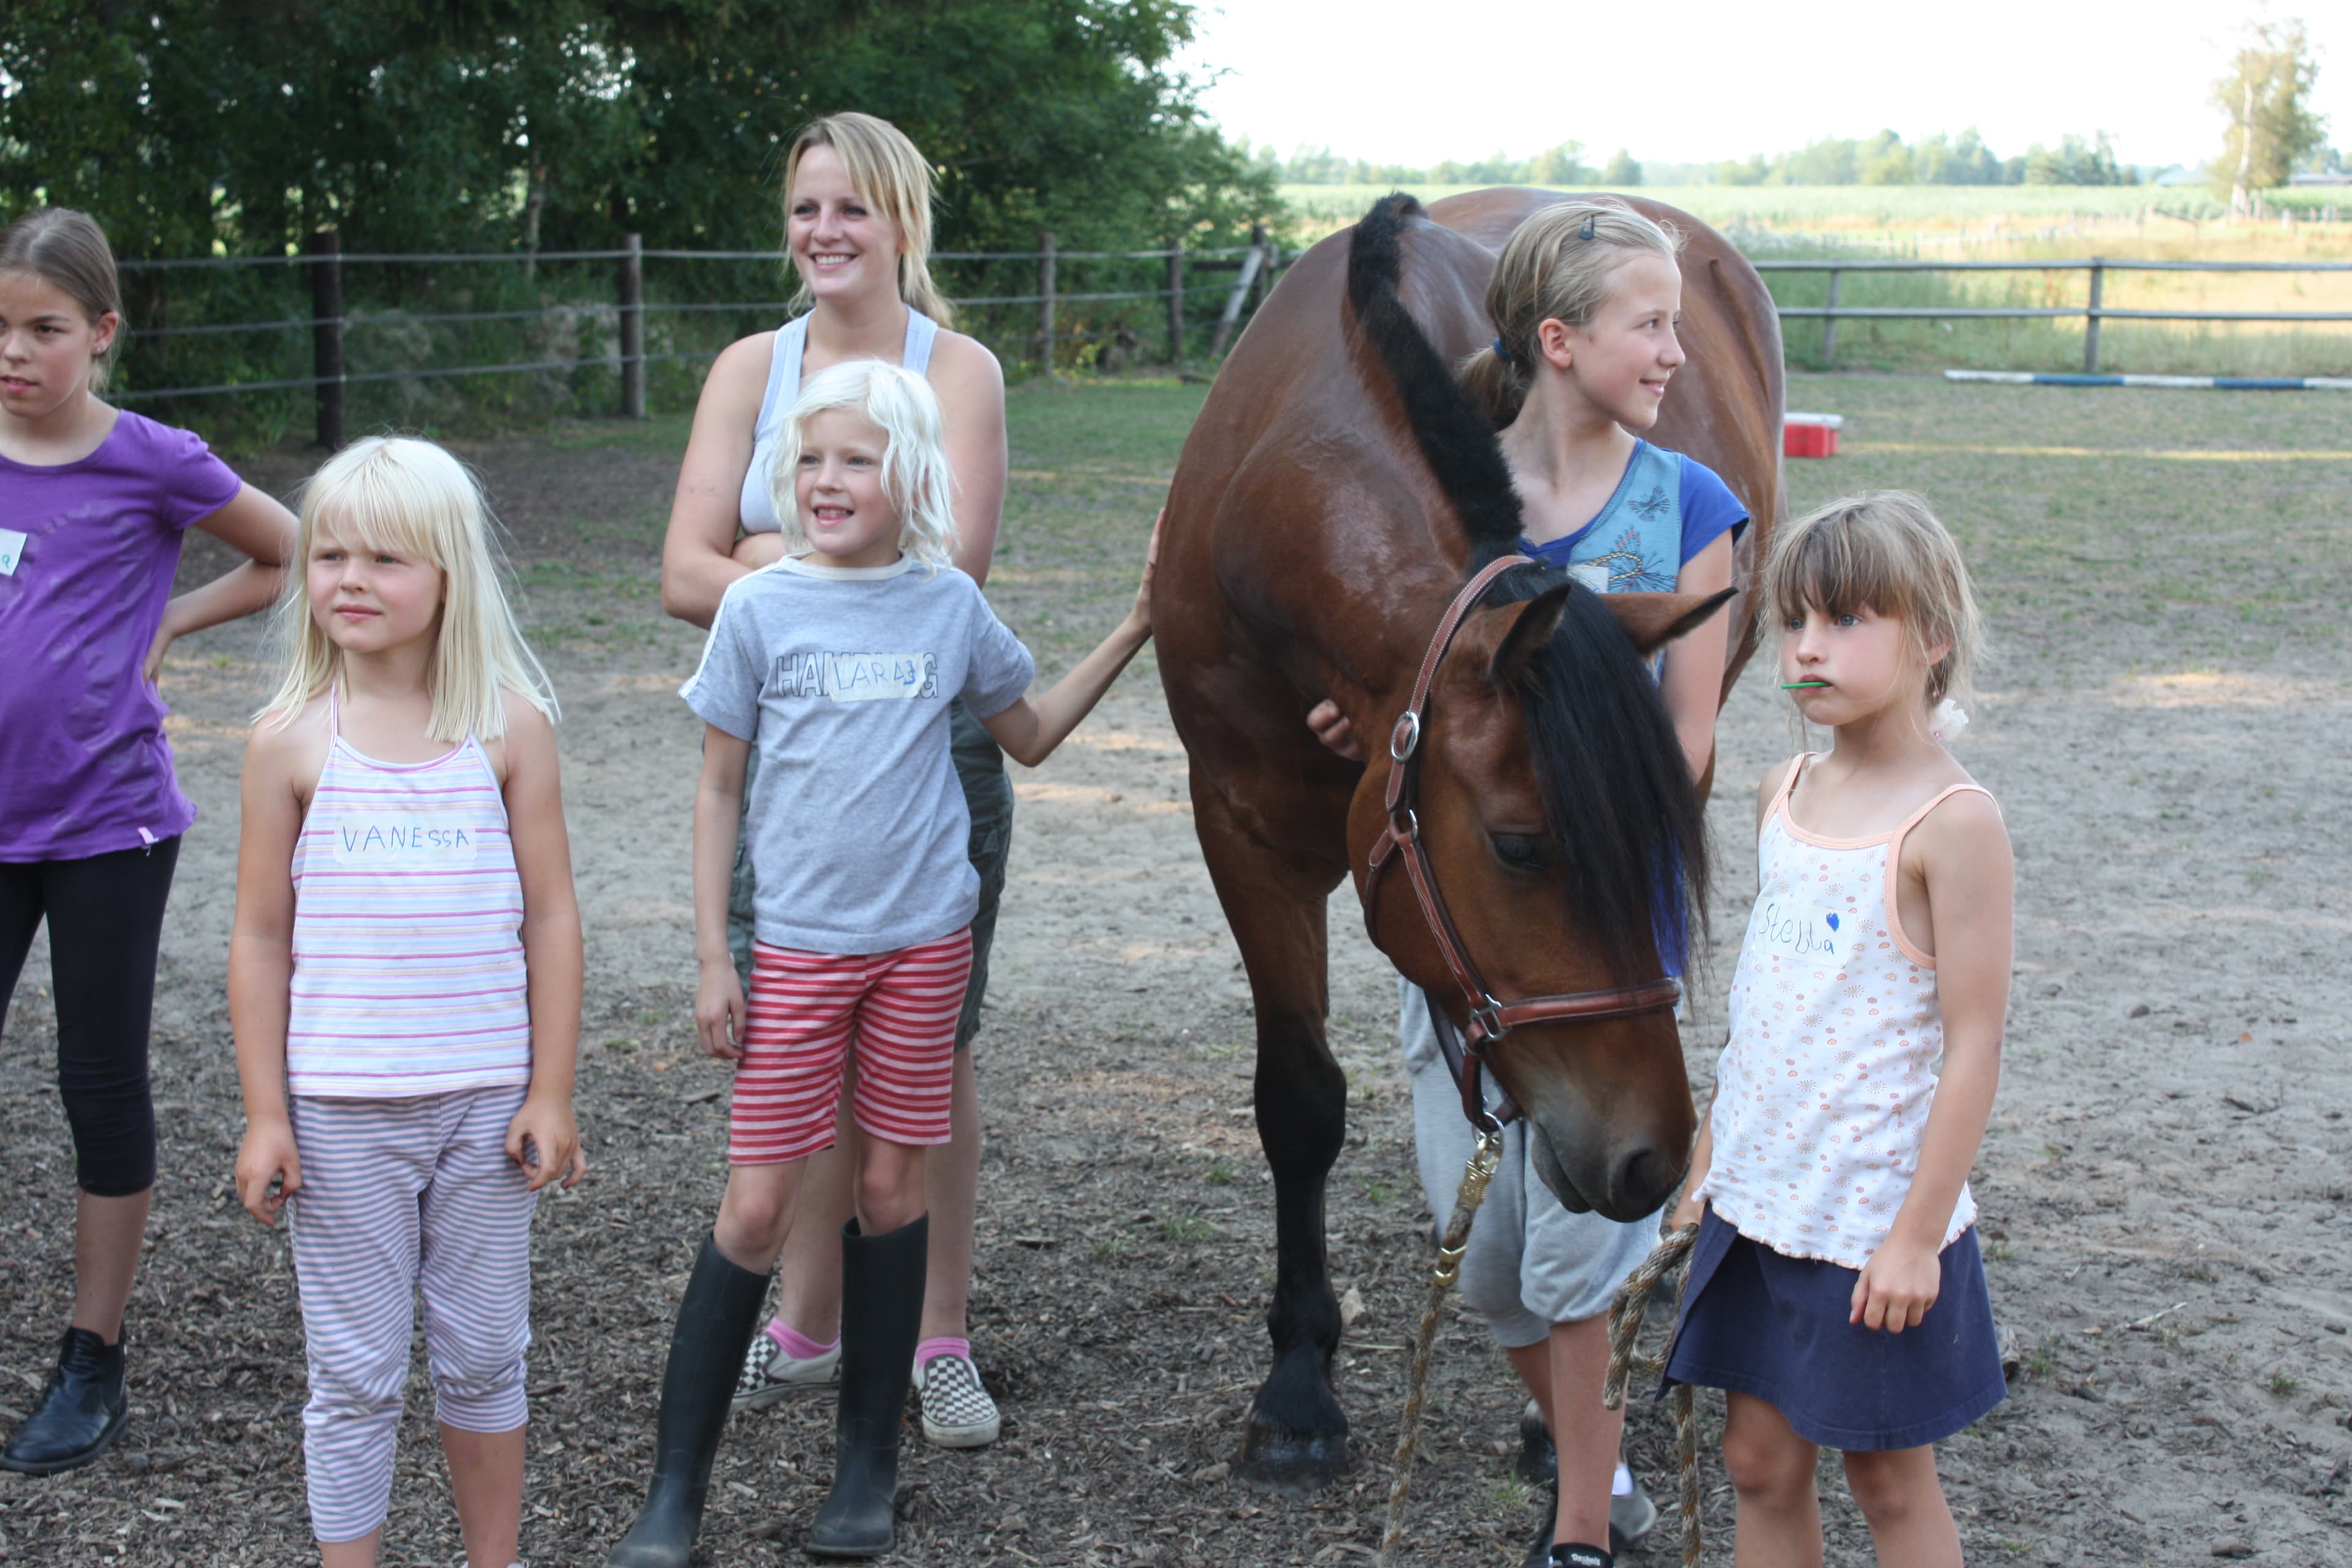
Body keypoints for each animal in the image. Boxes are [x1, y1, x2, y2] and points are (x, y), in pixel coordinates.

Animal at [1152, 190, 1778, 1495]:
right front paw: (1298, 1387)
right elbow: (1299, 1099)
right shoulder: (1239, 828)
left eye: (1659, 848)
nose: (1650, 1157)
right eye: (1521, 847)